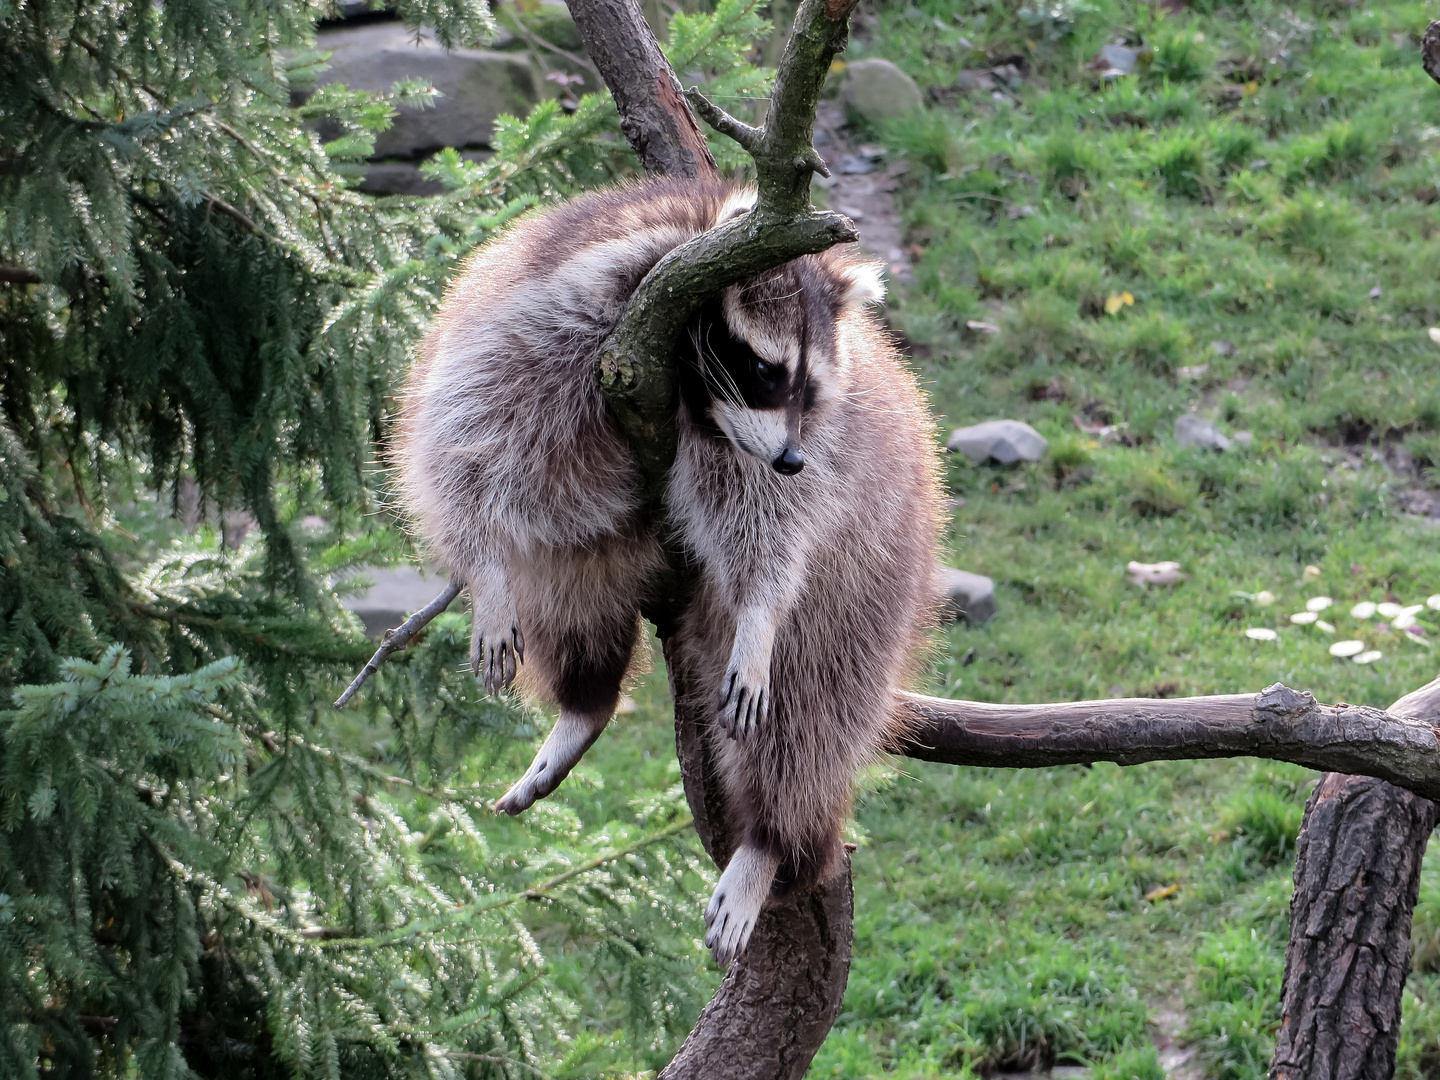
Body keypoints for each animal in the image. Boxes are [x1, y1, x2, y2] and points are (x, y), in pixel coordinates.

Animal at [400, 177, 944, 961]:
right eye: (765, 370)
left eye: (809, 388)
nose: (789, 457)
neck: (686, 387)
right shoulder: (554, 320)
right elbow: (469, 432)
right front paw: (486, 572)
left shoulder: (775, 454)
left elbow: (774, 526)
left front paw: (762, 610)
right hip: (611, 534)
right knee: (570, 573)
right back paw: (587, 697)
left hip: (867, 580)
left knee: (811, 707)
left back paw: (771, 839)